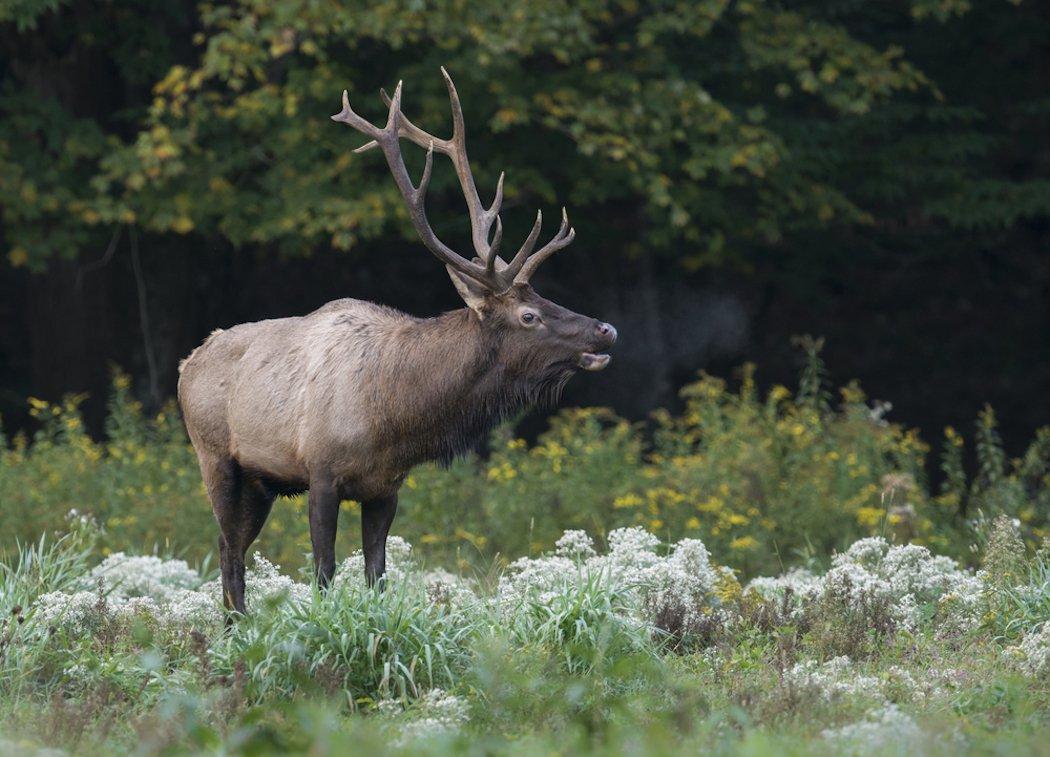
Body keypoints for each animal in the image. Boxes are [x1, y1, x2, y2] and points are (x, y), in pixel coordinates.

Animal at [178, 67, 613, 613]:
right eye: (529, 315)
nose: (605, 328)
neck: (394, 417)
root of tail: (186, 363)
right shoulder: (320, 472)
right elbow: (323, 572)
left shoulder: (386, 487)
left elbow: (376, 575)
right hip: (214, 456)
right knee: (227, 550)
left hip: (261, 482)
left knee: (232, 546)